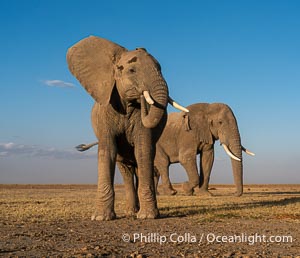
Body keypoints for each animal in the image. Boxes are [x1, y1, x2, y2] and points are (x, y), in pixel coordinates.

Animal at [67, 35, 188, 220]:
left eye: (160, 69)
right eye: (131, 71)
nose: (143, 96)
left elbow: (143, 150)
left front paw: (147, 216)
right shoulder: (105, 112)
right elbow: (108, 150)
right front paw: (101, 218)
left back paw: (137, 212)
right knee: (126, 170)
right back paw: (131, 212)